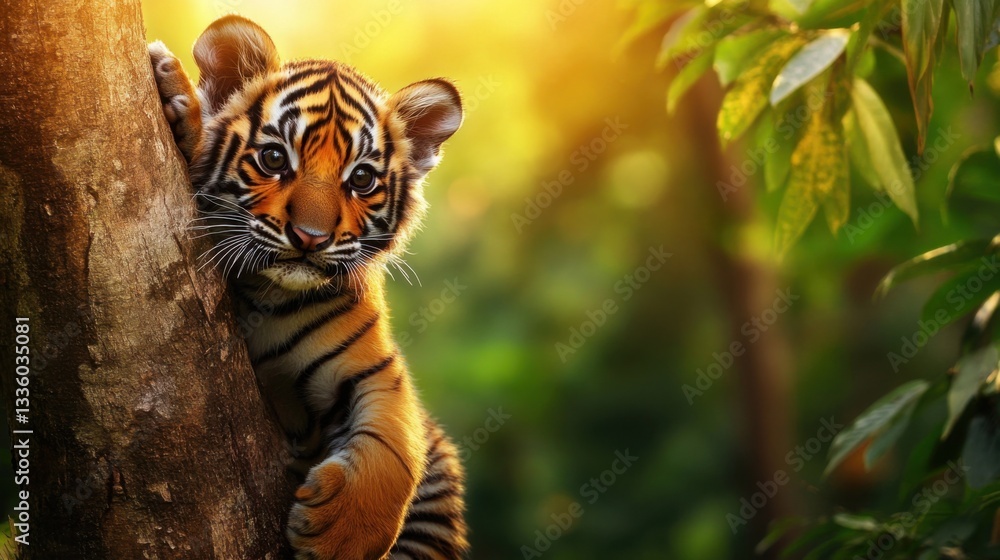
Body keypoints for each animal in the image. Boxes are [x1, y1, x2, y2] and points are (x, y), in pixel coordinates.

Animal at [148, 15, 468, 560]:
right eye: (275, 159)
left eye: (361, 179)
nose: (310, 237)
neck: (269, 296)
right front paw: (182, 106)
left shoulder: (377, 370)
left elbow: (395, 450)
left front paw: (339, 535)